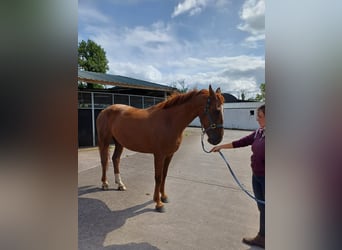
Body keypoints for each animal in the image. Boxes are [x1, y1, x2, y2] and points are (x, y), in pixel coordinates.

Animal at [96, 85, 224, 212]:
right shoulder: (159, 155)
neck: (169, 121)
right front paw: (158, 203)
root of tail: (104, 110)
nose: (217, 139)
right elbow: (158, 177)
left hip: (119, 142)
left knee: (115, 159)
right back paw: (105, 184)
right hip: (104, 141)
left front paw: (164, 197)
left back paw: (120, 184)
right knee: (104, 160)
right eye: (217, 110)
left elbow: (164, 175)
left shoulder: (169, 154)